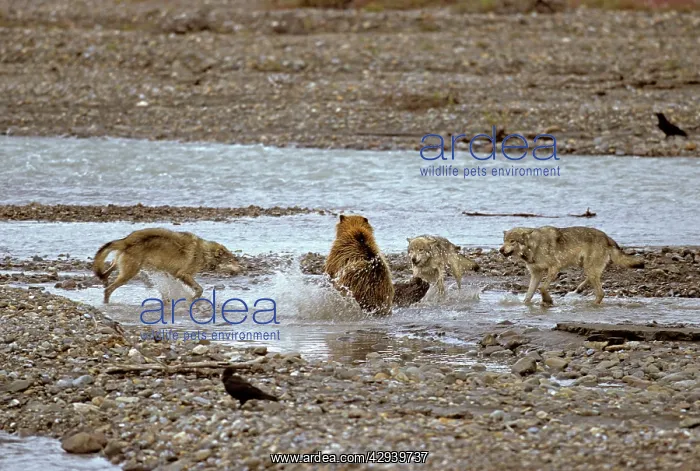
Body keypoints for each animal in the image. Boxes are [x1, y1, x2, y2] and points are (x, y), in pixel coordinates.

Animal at [93, 228, 240, 303]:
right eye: (231, 261)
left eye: (235, 260)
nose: (241, 268)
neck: (205, 253)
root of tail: (127, 240)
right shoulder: (183, 274)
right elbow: (199, 289)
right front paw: (192, 299)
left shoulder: (171, 274)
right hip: (129, 273)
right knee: (108, 290)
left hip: (121, 266)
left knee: (107, 272)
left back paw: (104, 280)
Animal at [499, 226, 644, 305]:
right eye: (504, 241)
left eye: (512, 241)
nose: (500, 250)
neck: (534, 246)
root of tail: (608, 237)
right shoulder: (536, 274)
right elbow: (529, 295)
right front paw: (527, 304)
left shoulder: (554, 269)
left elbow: (542, 288)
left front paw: (548, 301)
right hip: (586, 266)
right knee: (597, 278)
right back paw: (579, 289)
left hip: (589, 268)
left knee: (601, 293)